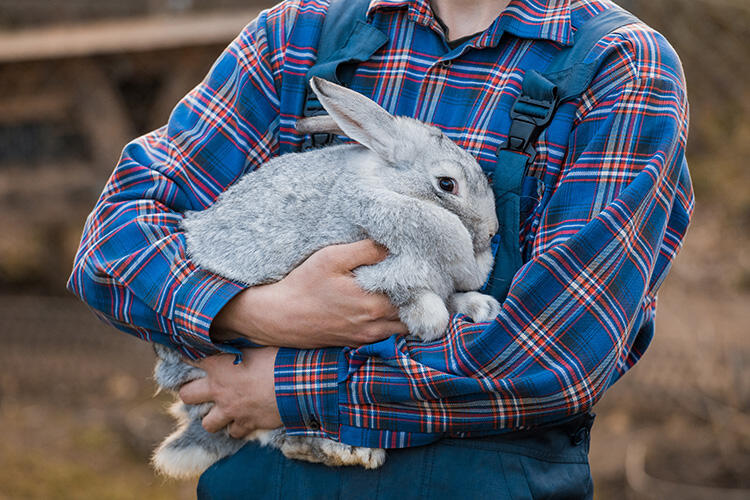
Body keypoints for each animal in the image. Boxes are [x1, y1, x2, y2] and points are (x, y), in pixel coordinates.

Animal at [151, 76, 506, 478]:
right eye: (447, 184)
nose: (492, 230)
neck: (388, 186)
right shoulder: (380, 270)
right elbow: (421, 300)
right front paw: (429, 323)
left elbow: (452, 296)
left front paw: (481, 306)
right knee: (280, 434)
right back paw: (347, 450)